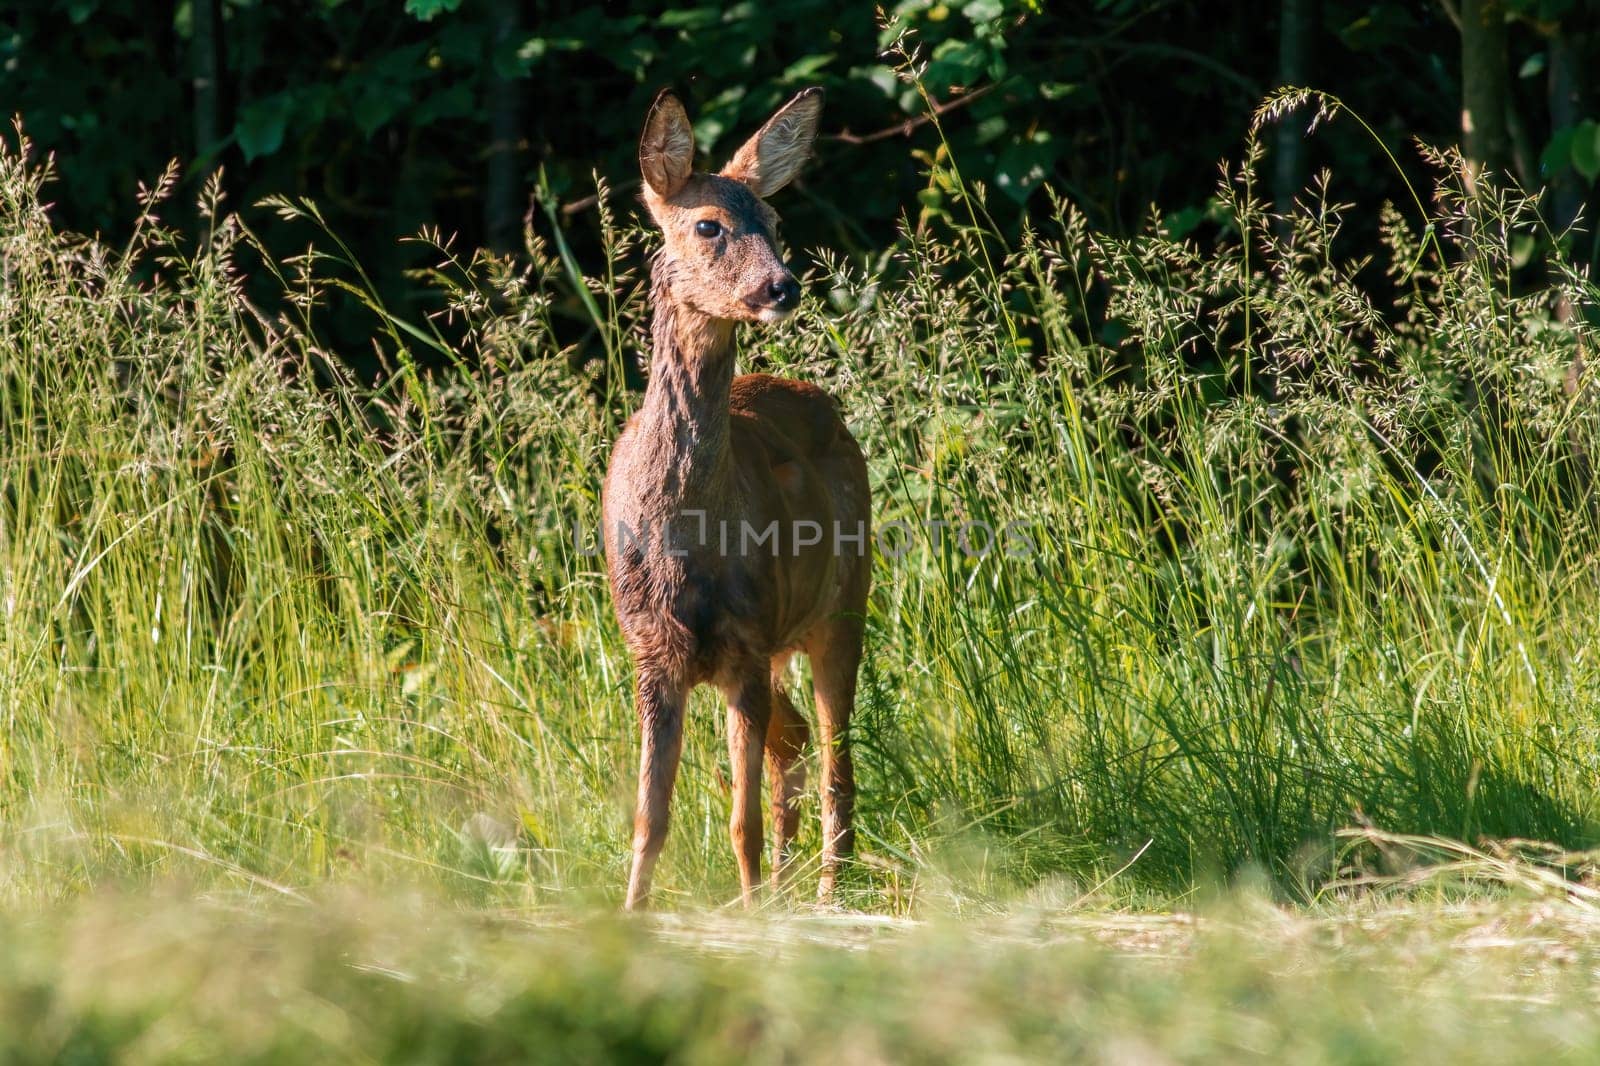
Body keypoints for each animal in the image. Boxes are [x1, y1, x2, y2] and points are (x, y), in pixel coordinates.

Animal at [601, 87, 876, 909]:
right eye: (707, 225)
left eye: (775, 222)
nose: (781, 287)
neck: (687, 530)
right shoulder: (652, 654)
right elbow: (650, 819)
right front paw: (630, 915)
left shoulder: (746, 640)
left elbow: (738, 822)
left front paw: (752, 913)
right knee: (795, 744)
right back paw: (791, 888)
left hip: (842, 604)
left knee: (834, 761)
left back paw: (824, 895)